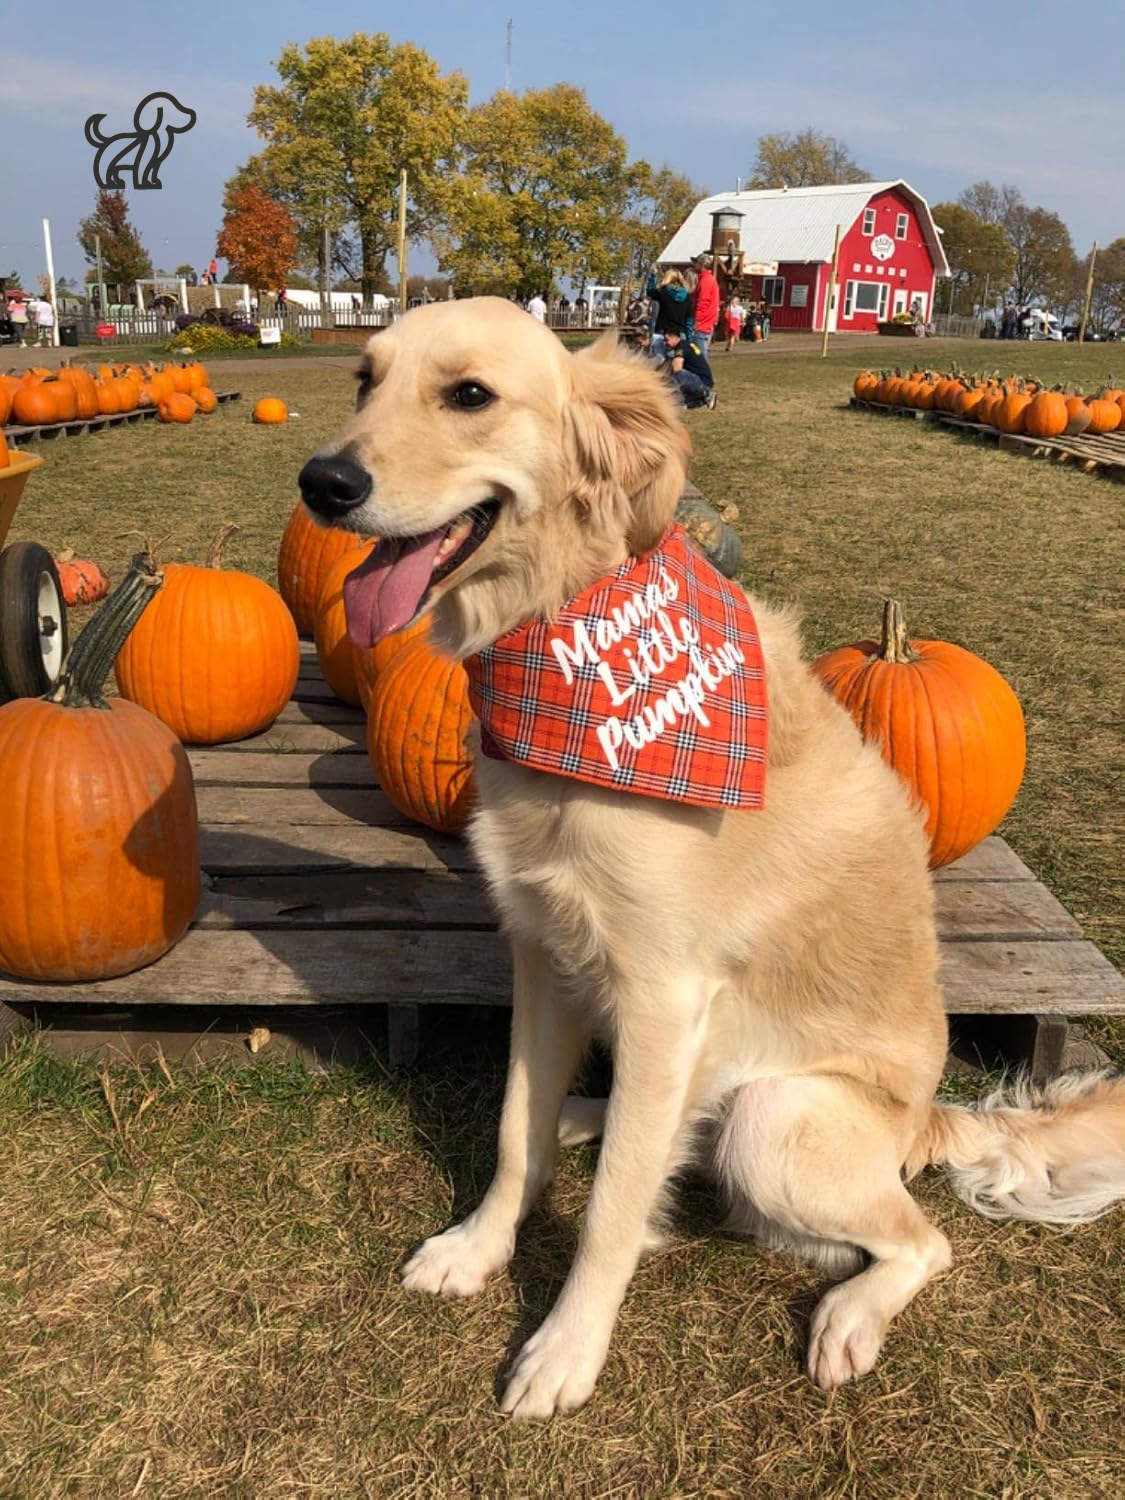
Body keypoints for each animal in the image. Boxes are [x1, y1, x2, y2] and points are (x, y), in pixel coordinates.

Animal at [300, 292, 1125, 1416]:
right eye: (363, 381)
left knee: (919, 1243)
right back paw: (591, 1117)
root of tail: (922, 1127)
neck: (566, 640)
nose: (322, 483)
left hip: (774, 1118)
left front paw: (566, 1347)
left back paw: (848, 1317)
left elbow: (611, 1211)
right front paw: (478, 1246)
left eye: (469, 394)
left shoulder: (663, 991)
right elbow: (515, 1134)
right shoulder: (542, 955)